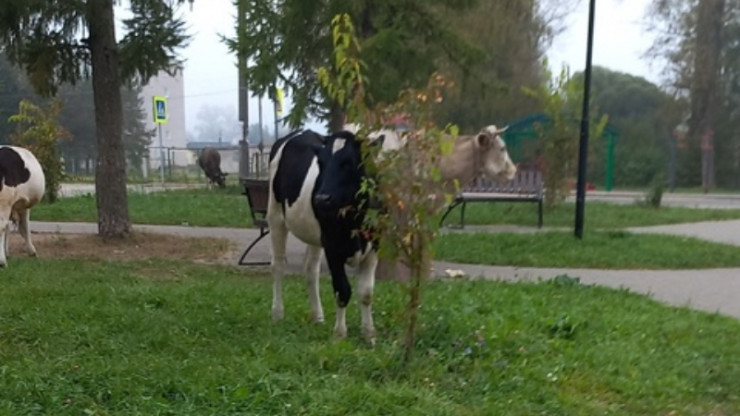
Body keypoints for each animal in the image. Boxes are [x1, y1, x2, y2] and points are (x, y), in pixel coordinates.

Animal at [268, 128, 378, 342]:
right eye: (320, 162)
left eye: (348, 162)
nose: (321, 198)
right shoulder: (333, 247)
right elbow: (342, 290)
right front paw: (340, 334)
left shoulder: (374, 247)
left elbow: (367, 293)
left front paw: (369, 334)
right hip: (275, 215)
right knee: (277, 265)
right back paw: (277, 313)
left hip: (315, 236)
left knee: (311, 270)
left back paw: (317, 316)